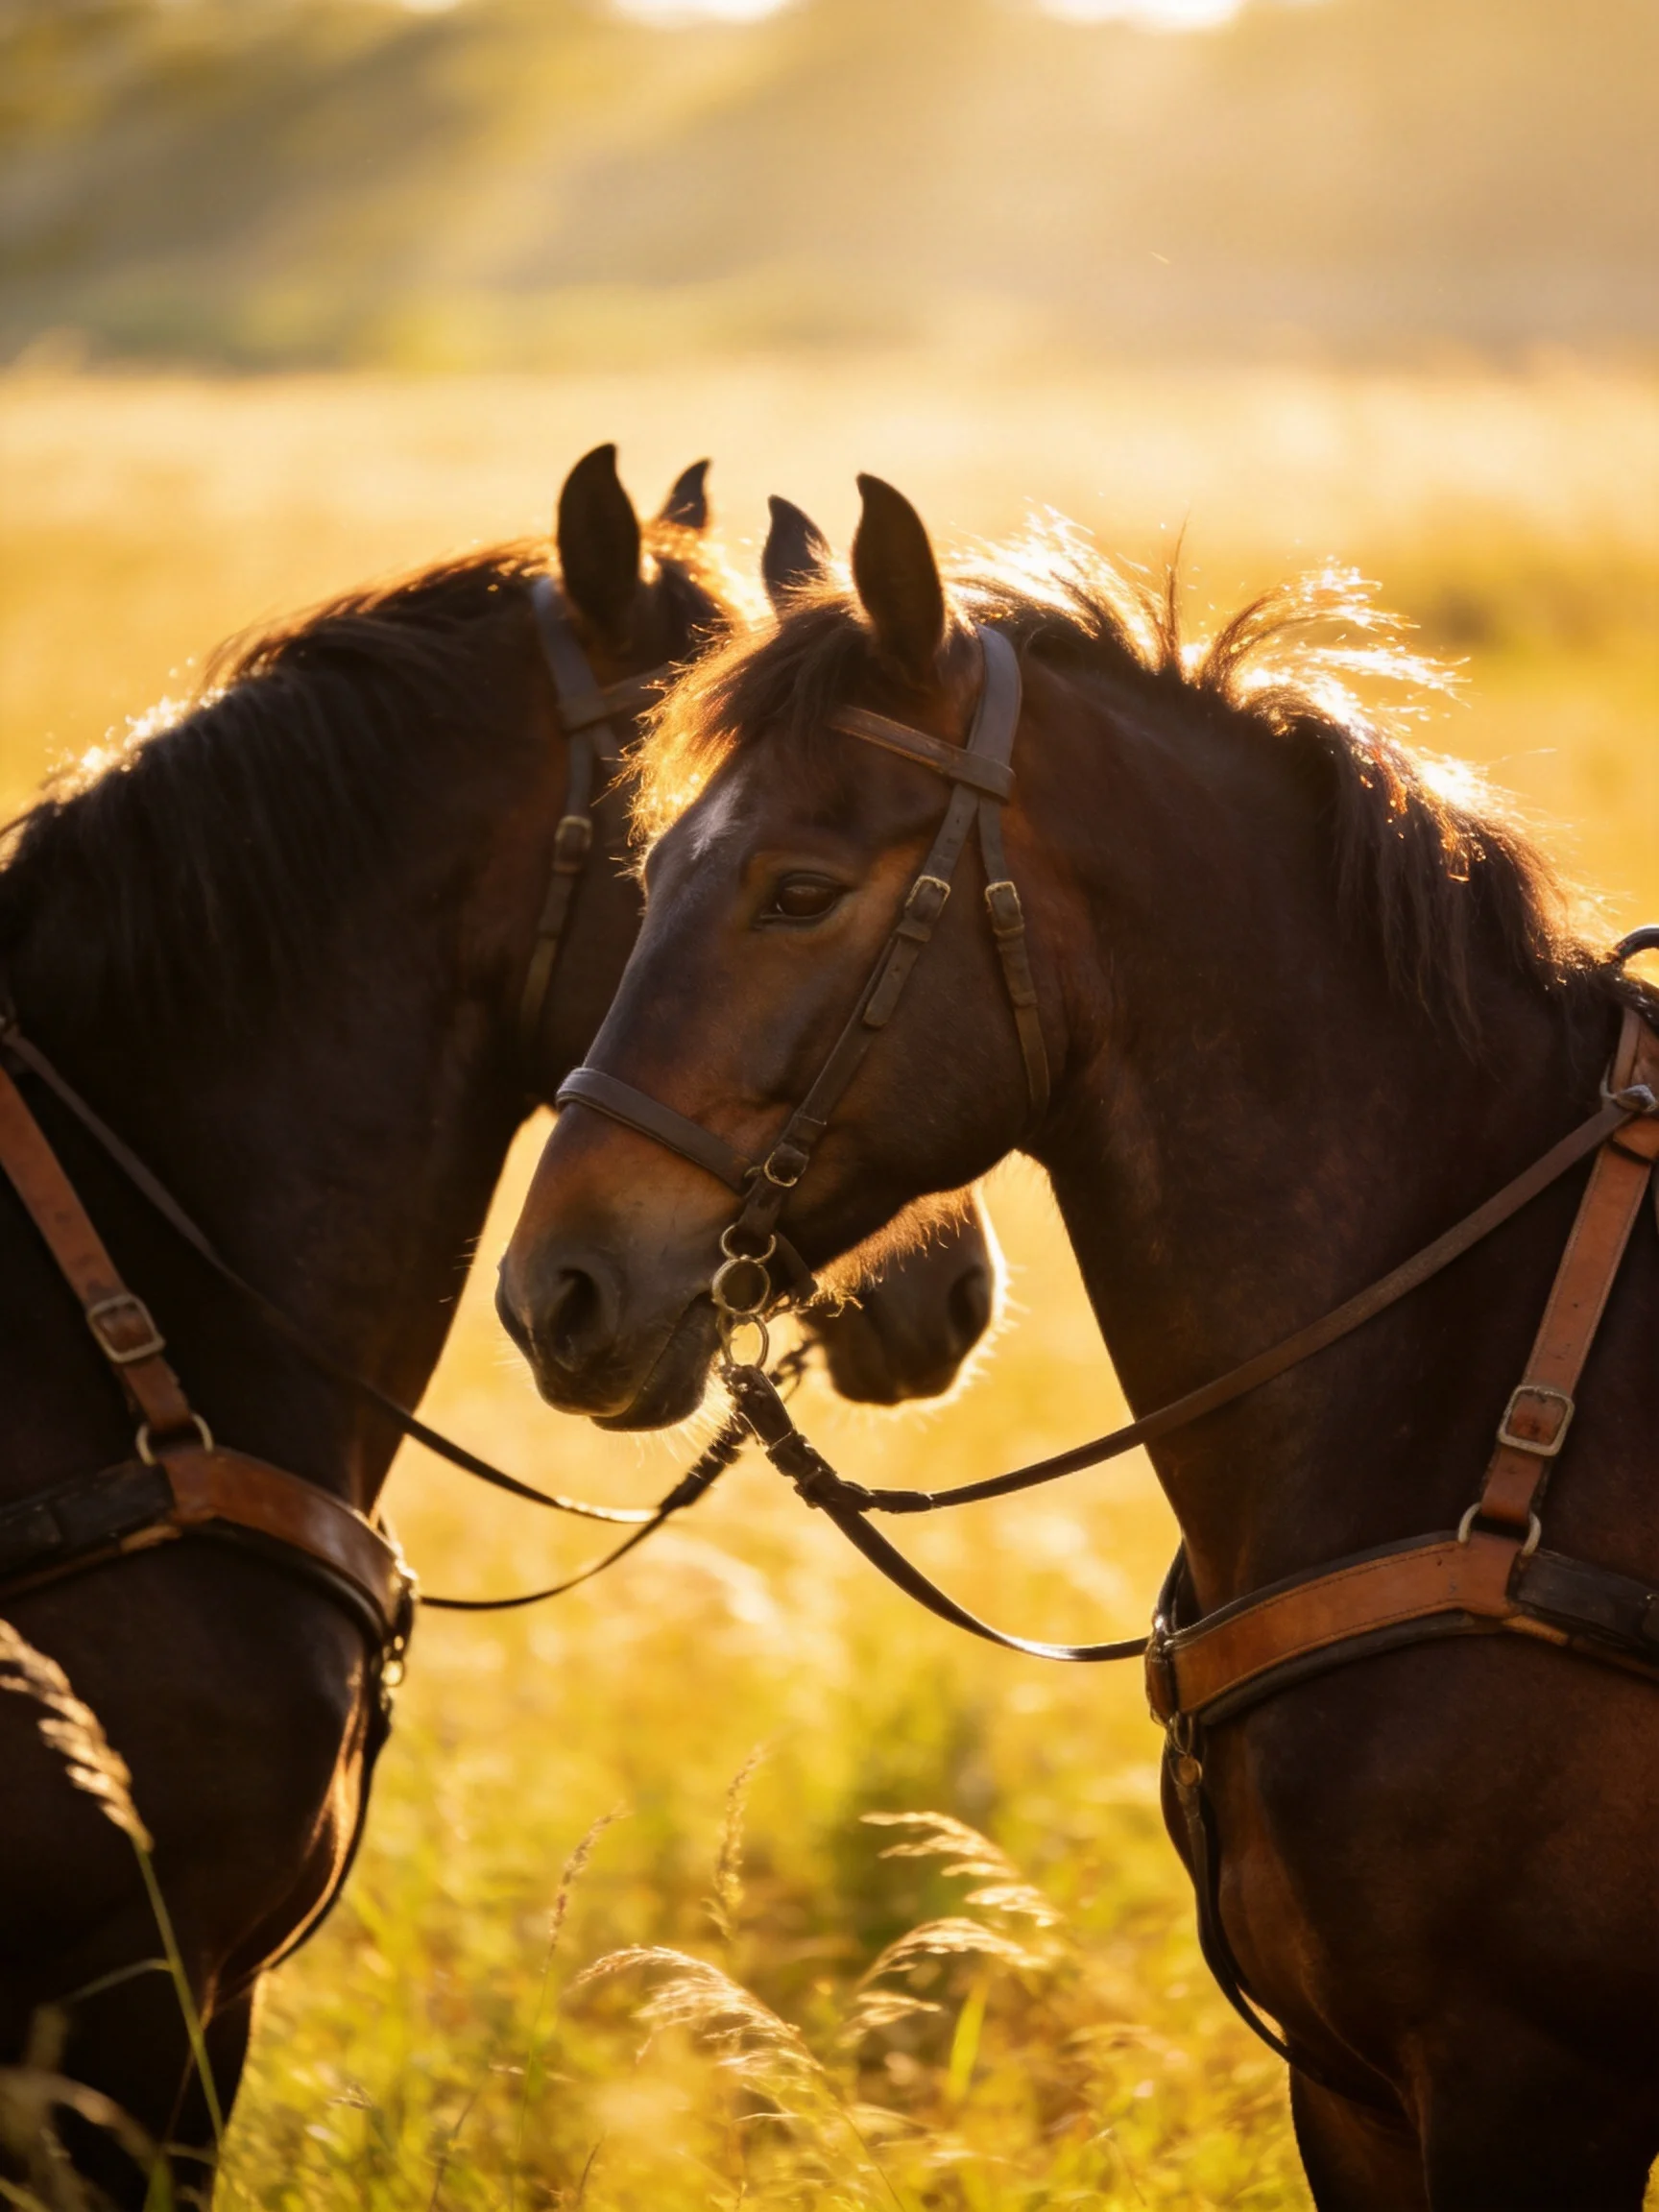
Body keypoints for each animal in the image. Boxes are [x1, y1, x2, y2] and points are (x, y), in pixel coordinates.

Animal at [498, 475, 1659, 2208]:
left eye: (798, 889)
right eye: (657, 867)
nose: (553, 1289)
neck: (1496, 1406)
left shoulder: (1528, 2087)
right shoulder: (1355, 2096)